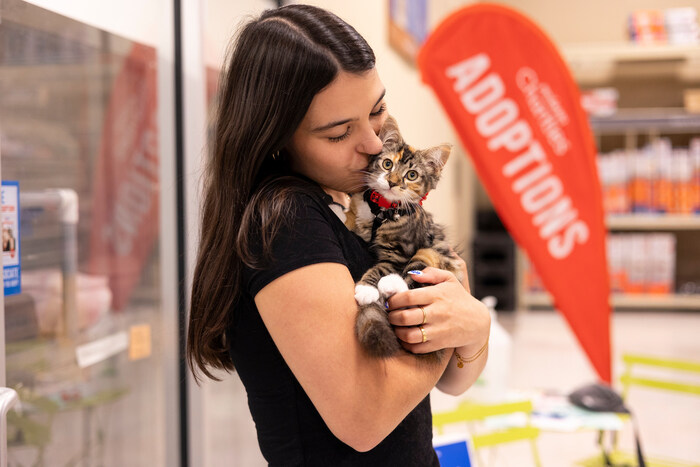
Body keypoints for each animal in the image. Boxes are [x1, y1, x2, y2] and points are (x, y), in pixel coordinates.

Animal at [346, 116, 464, 358]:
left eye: (412, 175)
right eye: (387, 164)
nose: (392, 182)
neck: (383, 211)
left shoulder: (400, 252)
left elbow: (382, 267)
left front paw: (366, 288)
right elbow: (354, 217)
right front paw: (341, 211)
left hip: (431, 252)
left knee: (413, 281)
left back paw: (391, 284)